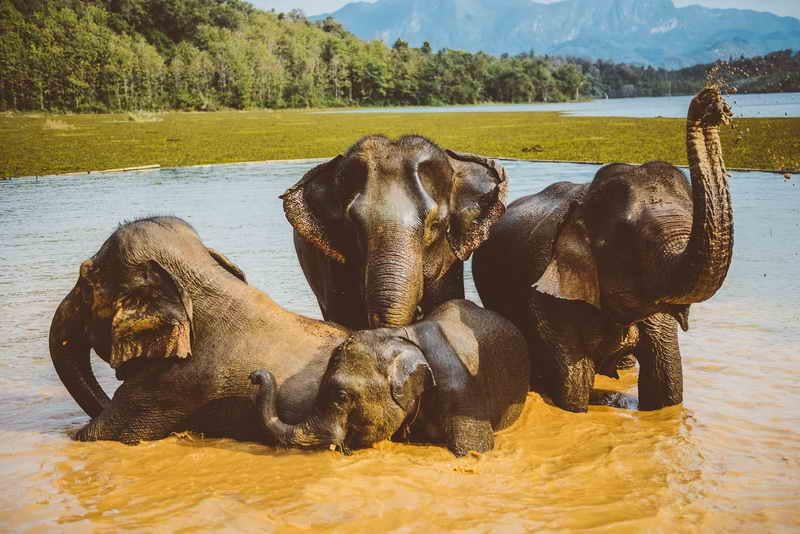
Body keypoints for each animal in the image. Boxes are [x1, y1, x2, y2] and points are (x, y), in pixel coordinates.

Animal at [472, 89, 736, 414]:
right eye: (637, 242)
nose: (709, 101)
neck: (585, 202)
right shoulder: (547, 297)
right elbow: (575, 390)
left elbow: (666, 384)